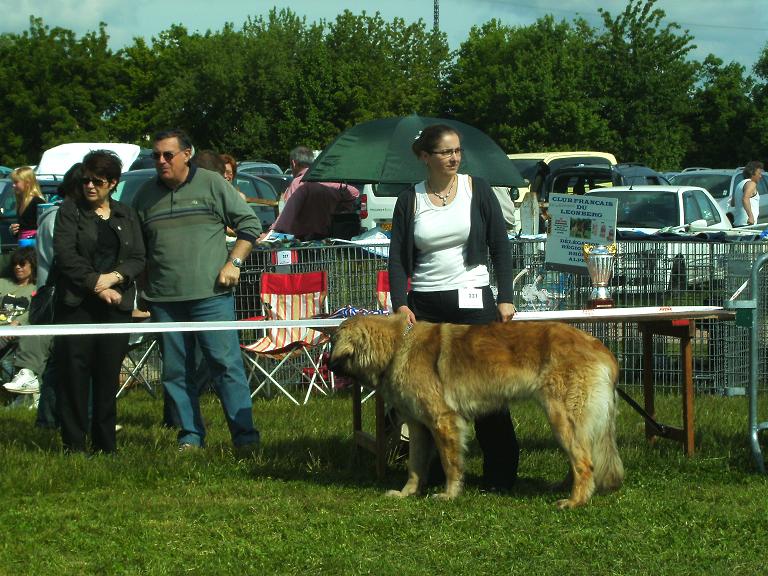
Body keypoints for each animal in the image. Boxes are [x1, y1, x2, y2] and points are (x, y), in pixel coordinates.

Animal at [328, 312, 624, 506]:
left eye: (332, 343)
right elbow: (414, 465)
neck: (398, 345)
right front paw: (407, 493)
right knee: (584, 458)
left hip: (561, 417)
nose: (328, 366)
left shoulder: (443, 421)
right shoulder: (418, 426)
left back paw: (574, 501)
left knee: (584, 462)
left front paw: (449, 494)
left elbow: (450, 463)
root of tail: (601, 348)